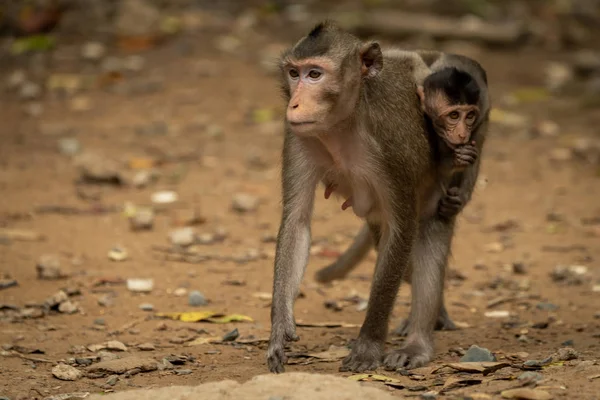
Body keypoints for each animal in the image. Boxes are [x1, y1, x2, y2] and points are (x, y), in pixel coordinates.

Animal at [268, 22, 454, 376]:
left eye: (315, 74)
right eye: (294, 73)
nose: (294, 104)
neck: (344, 122)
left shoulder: (390, 145)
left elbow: (403, 228)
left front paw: (368, 345)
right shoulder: (296, 135)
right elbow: (297, 222)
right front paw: (279, 326)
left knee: (426, 238)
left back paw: (419, 343)